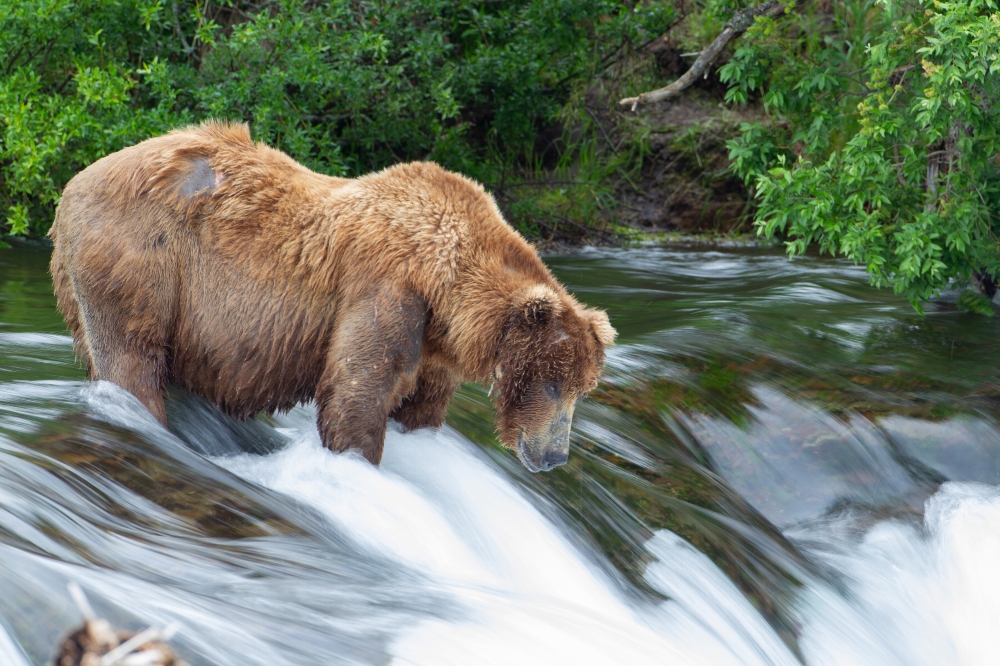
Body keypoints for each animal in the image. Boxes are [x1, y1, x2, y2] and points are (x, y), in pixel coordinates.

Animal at [52, 120, 616, 472]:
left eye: (581, 390)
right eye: (551, 384)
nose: (555, 456)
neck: (447, 288)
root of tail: (74, 183)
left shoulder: (437, 345)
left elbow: (423, 409)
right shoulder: (386, 290)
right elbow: (357, 390)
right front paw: (357, 462)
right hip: (141, 260)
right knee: (131, 360)